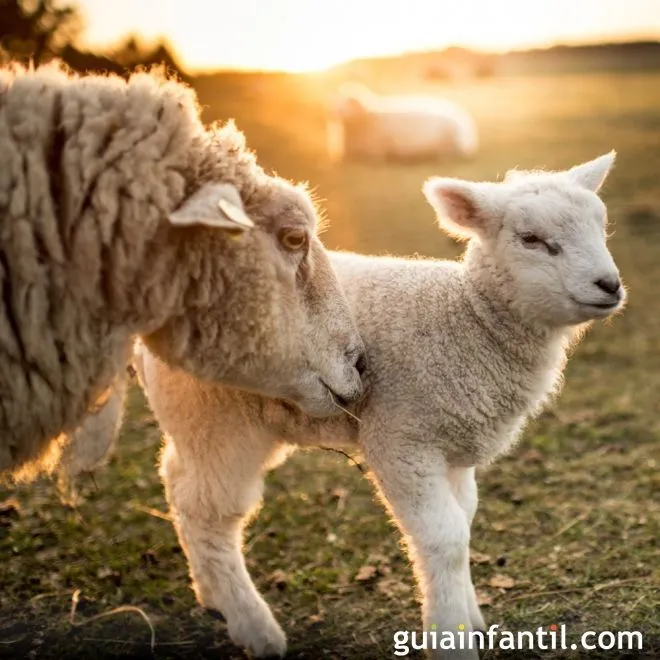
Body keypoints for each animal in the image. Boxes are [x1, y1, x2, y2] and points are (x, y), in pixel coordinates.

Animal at [135, 153, 624, 656]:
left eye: (600, 226)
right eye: (531, 240)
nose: (609, 285)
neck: (467, 320)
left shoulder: (454, 447)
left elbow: (464, 522)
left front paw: (469, 617)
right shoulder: (401, 438)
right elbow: (445, 538)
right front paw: (450, 635)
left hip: (199, 423)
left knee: (178, 482)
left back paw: (210, 592)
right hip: (219, 422)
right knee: (210, 515)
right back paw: (254, 626)